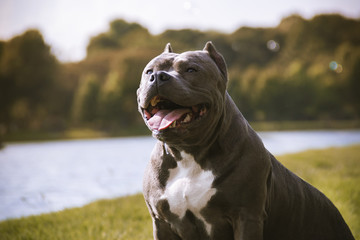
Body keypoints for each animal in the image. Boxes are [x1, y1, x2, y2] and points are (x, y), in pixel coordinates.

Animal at [136, 42, 354, 239]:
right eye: (148, 71)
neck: (189, 154)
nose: (158, 76)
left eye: (191, 70)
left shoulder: (247, 216)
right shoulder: (161, 222)